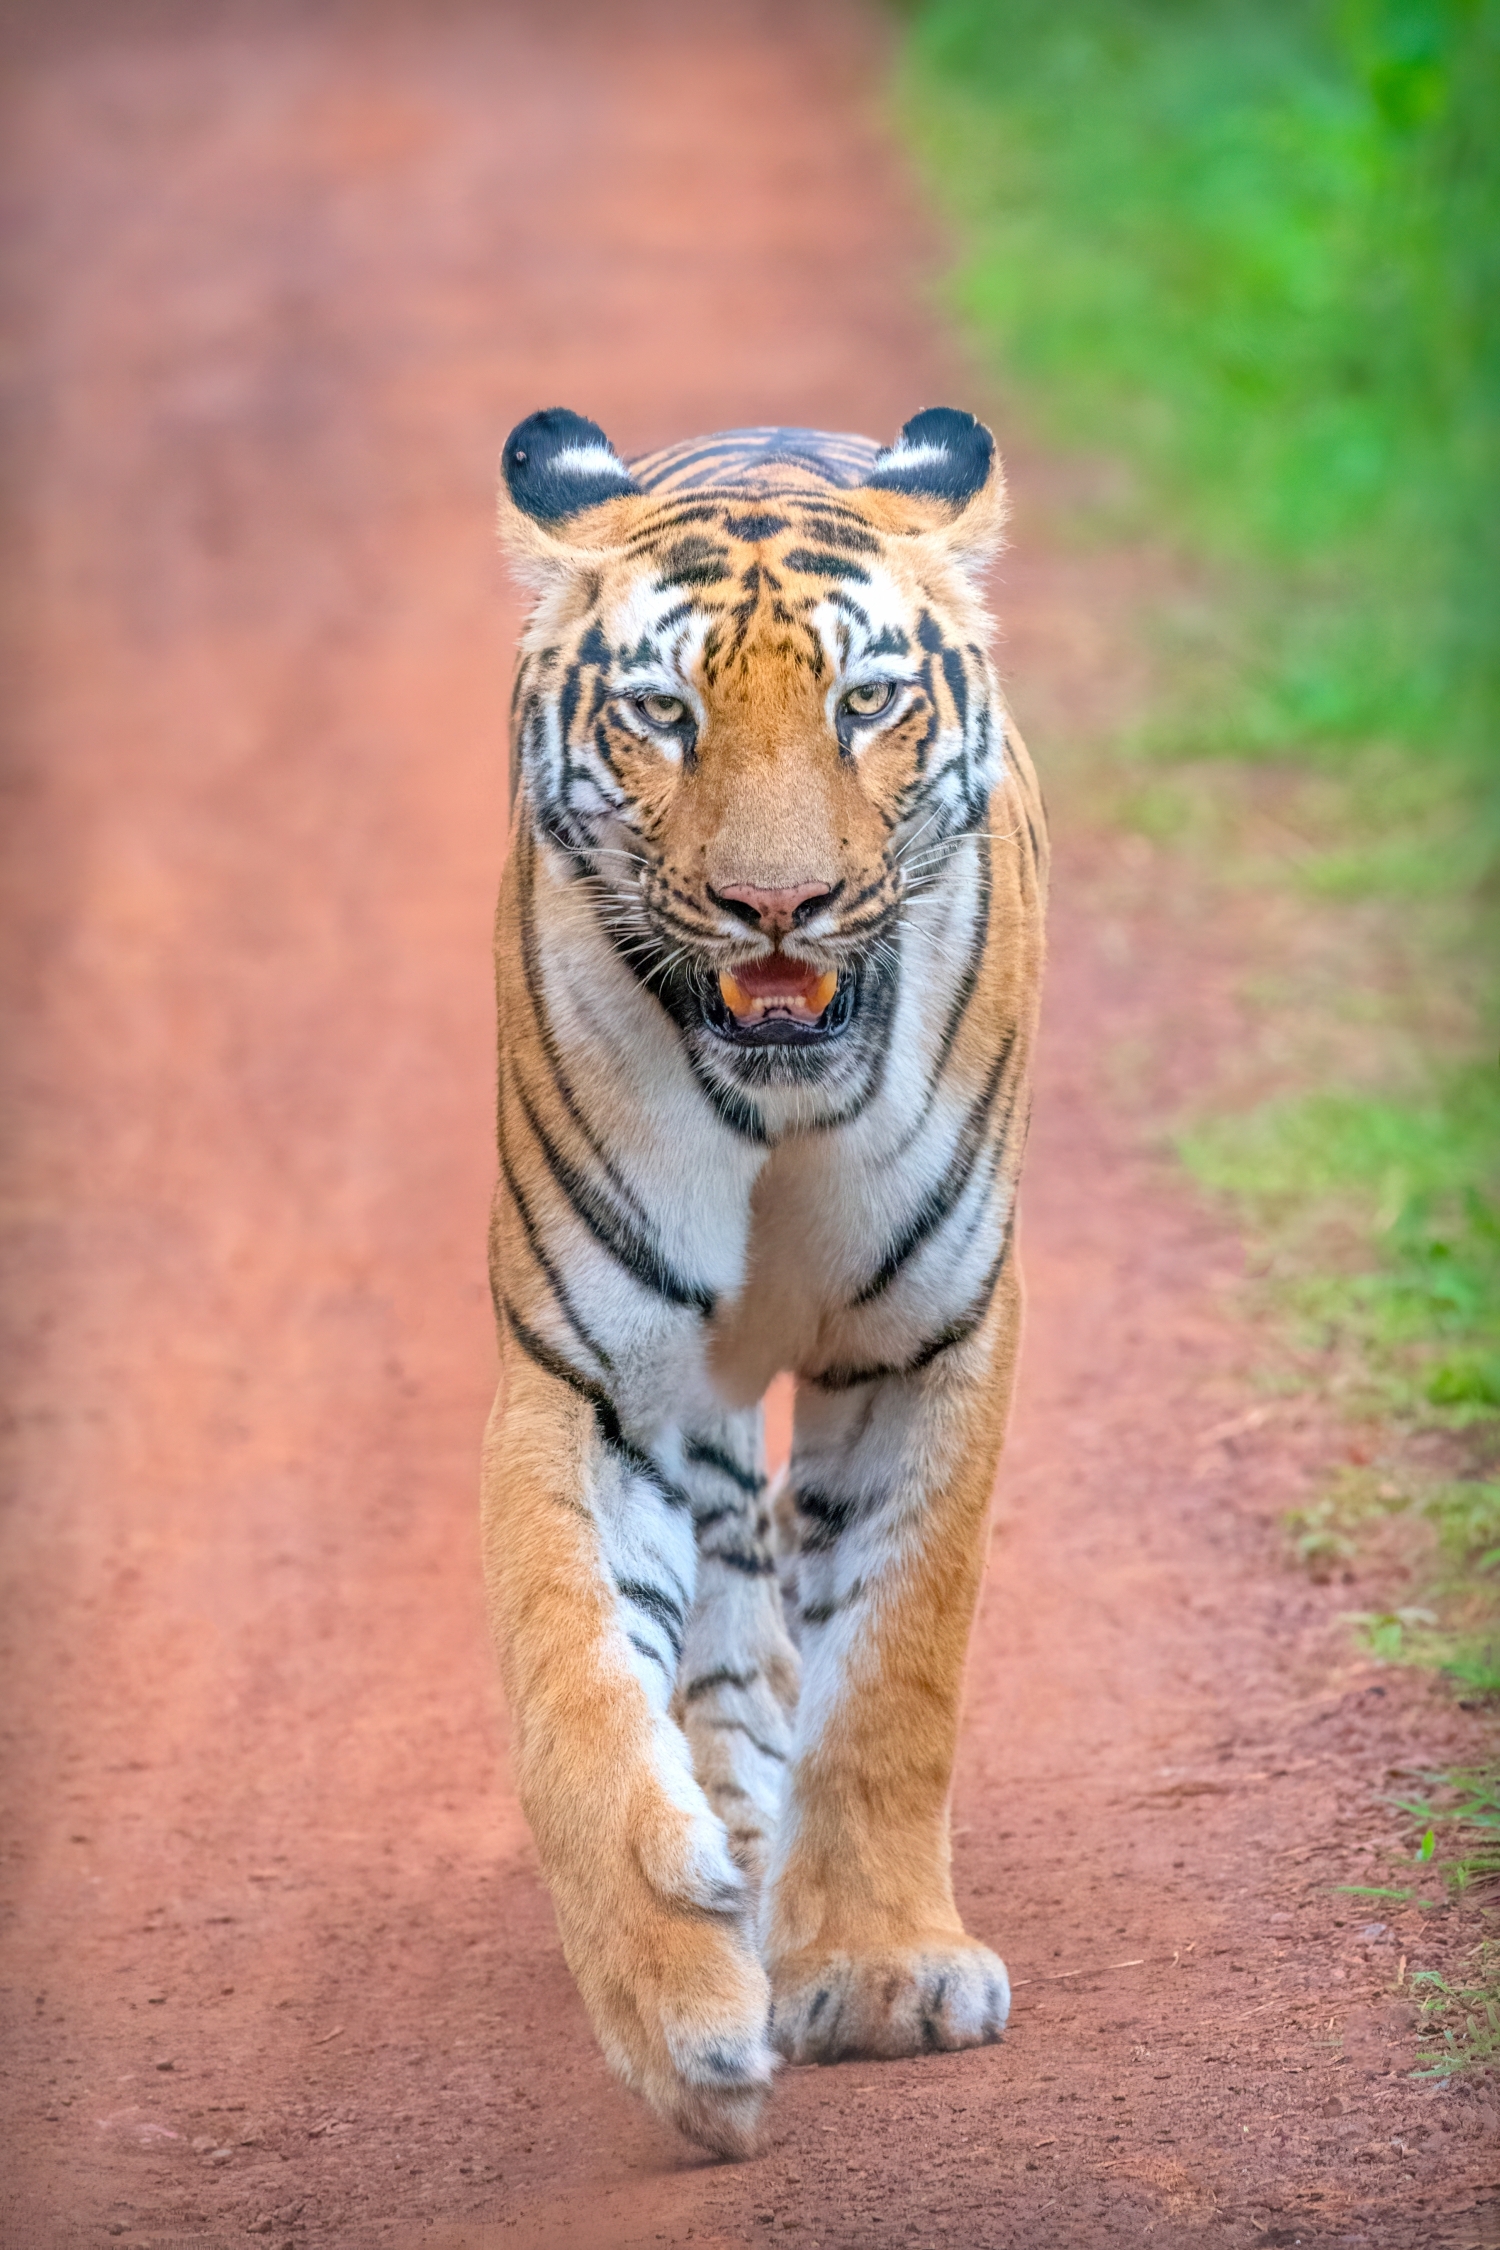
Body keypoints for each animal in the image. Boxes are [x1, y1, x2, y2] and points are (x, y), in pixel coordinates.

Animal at [480, 404, 1047, 2158]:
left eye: (865, 700)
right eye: (665, 713)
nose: (776, 906)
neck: (777, 1101)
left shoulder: (927, 1340)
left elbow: (893, 1671)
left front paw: (880, 1973)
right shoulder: (602, 1380)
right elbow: (575, 1682)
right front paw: (683, 2014)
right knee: (721, 1617)